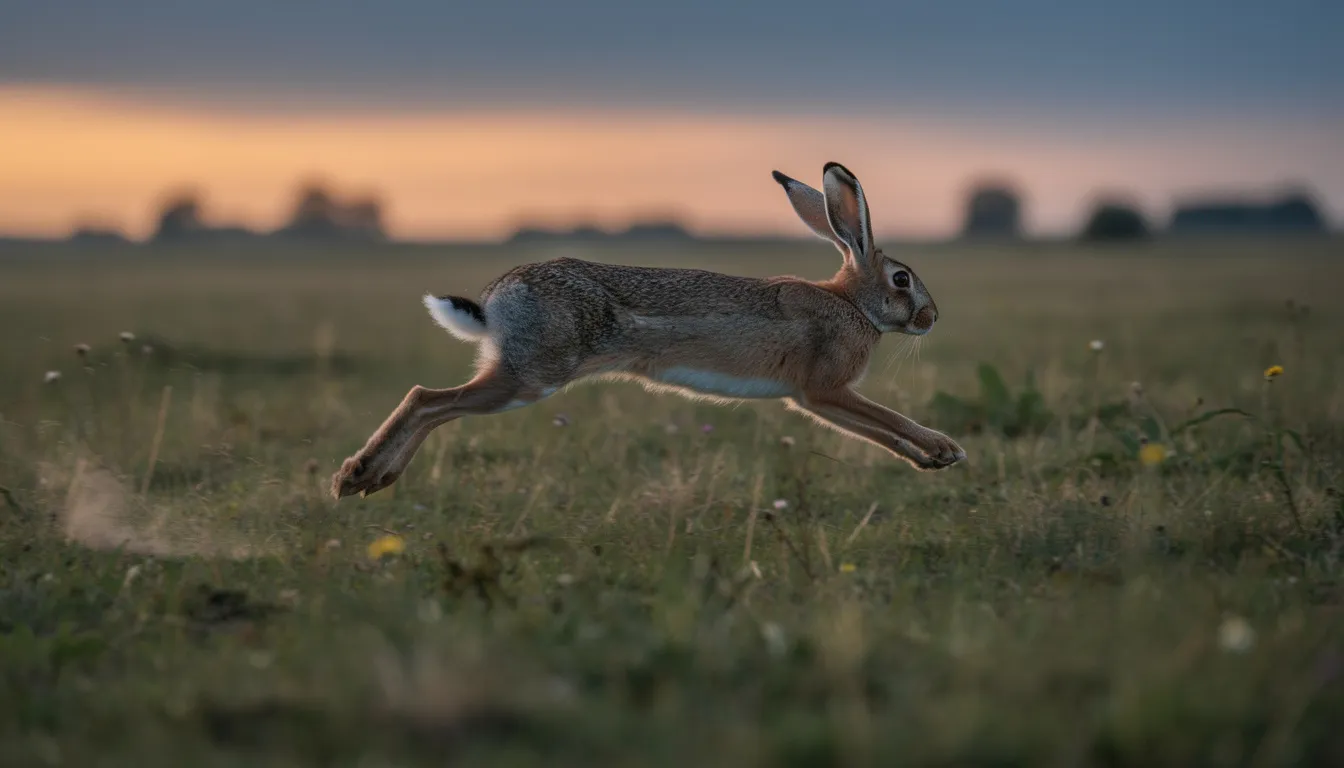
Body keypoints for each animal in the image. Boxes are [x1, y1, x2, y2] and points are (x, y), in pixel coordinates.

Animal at [332, 162, 965, 499]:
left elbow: (877, 431)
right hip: (531, 375)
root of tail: (495, 300)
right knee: (427, 399)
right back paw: (355, 475)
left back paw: (372, 480)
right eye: (902, 279)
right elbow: (887, 418)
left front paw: (929, 462)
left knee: (432, 403)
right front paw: (946, 448)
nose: (932, 319)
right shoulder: (827, 387)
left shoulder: (814, 399)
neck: (851, 302)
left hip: (517, 373)